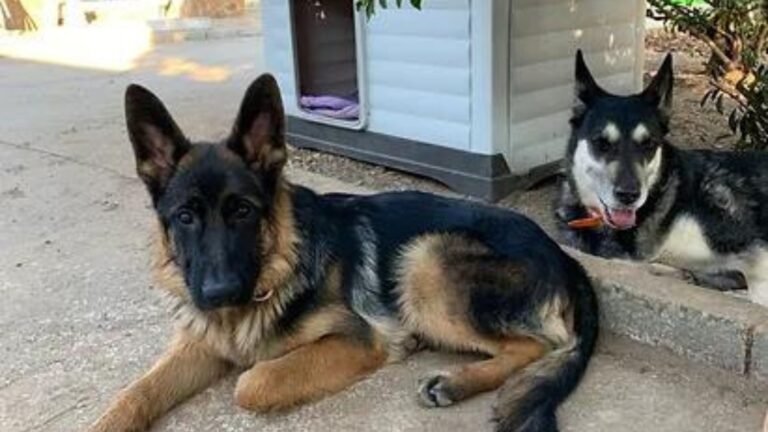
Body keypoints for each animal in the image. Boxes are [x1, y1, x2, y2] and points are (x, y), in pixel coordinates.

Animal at [88, 74, 598, 432]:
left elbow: (252, 382)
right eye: (185, 217)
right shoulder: (199, 343)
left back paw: (454, 382)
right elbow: (138, 390)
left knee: (536, 345)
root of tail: (566, 257)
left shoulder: (354, 340)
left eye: (243, 211)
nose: (218, 294)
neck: (277, 266)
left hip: (425, 259)